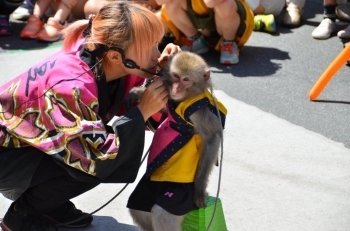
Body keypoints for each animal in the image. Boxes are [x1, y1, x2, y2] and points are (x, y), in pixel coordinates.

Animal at [126, 51, 227, 231]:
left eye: (186, 80)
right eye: (175, 76)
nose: (176, 88)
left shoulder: (198, 111)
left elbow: (213, 136)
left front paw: (199, 190)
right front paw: (138, 92)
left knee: (162, 214)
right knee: (138, 207)